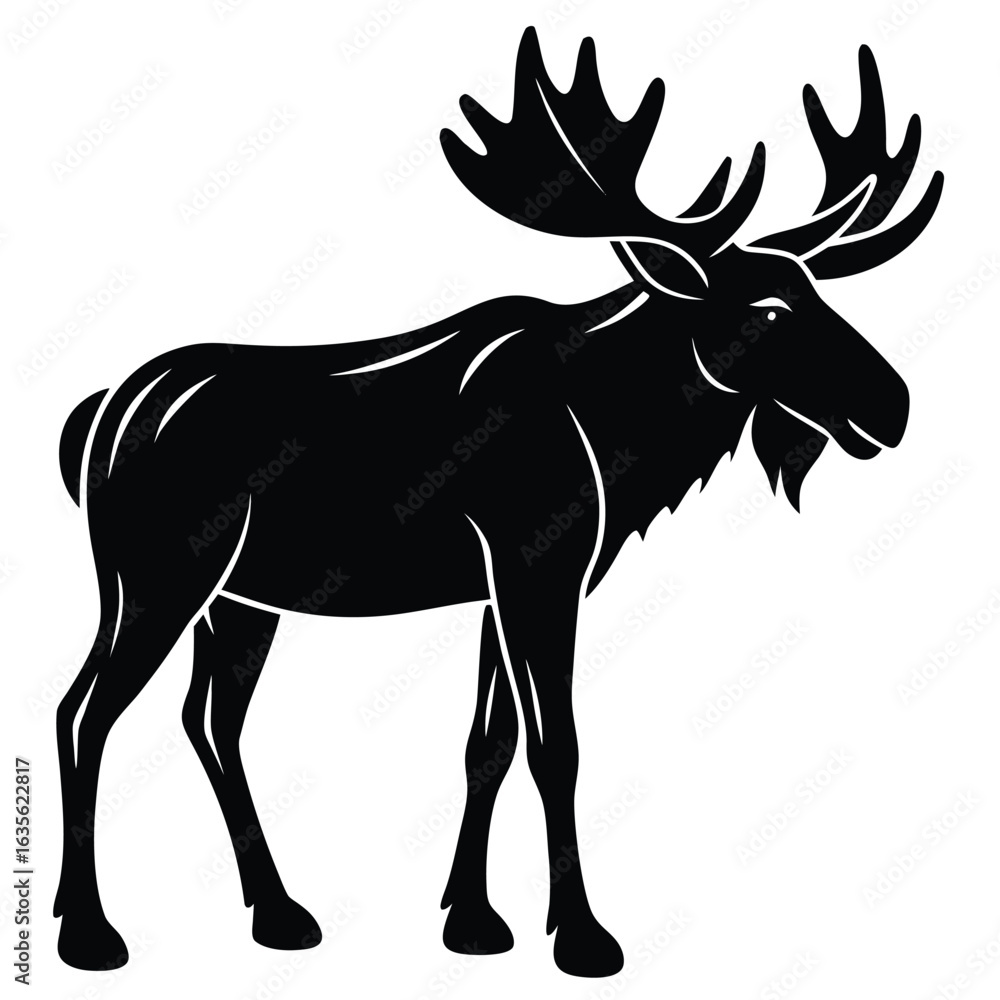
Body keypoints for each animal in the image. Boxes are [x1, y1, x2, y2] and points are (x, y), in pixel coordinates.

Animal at [54, 26, 942, 978]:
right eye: (773, 308)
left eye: (822, 291)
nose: (894, 404)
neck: (617, 438)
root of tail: (97, 418)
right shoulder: (536, 570)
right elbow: (559, 747)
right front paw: (582, 934)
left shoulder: (502, 586)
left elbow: (490, 745)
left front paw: (473, 921)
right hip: (156, 578)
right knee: (84, 712)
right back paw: (89, 930)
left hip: (242, 600)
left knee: (209, 722)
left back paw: (278, 911)